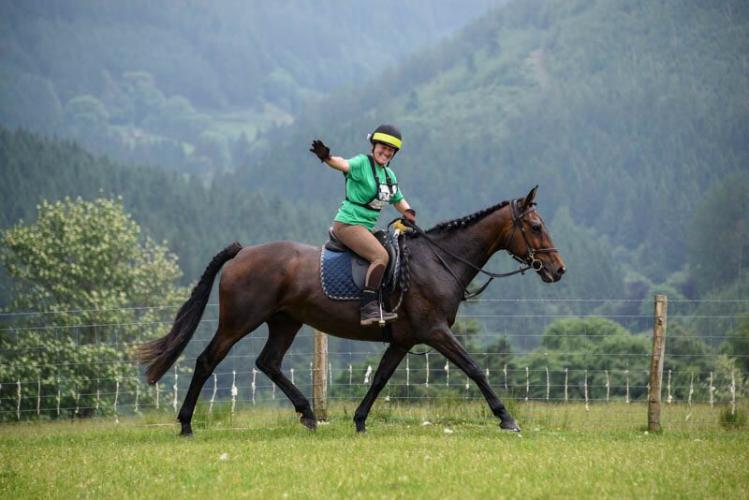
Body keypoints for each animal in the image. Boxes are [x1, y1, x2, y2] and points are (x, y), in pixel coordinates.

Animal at [138, 186, 565, 435]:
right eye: (535, 226)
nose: (558, 270)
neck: (438, 260)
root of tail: (242, 253)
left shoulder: (404, 339)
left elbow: (380, 379)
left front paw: (359, 421)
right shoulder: (435, 331)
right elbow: (475, 368)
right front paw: (506, 418)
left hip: (285, 322)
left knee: (269, 363)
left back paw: (308, 415)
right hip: (239, 322)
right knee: (207, 361)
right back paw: (186, 424)